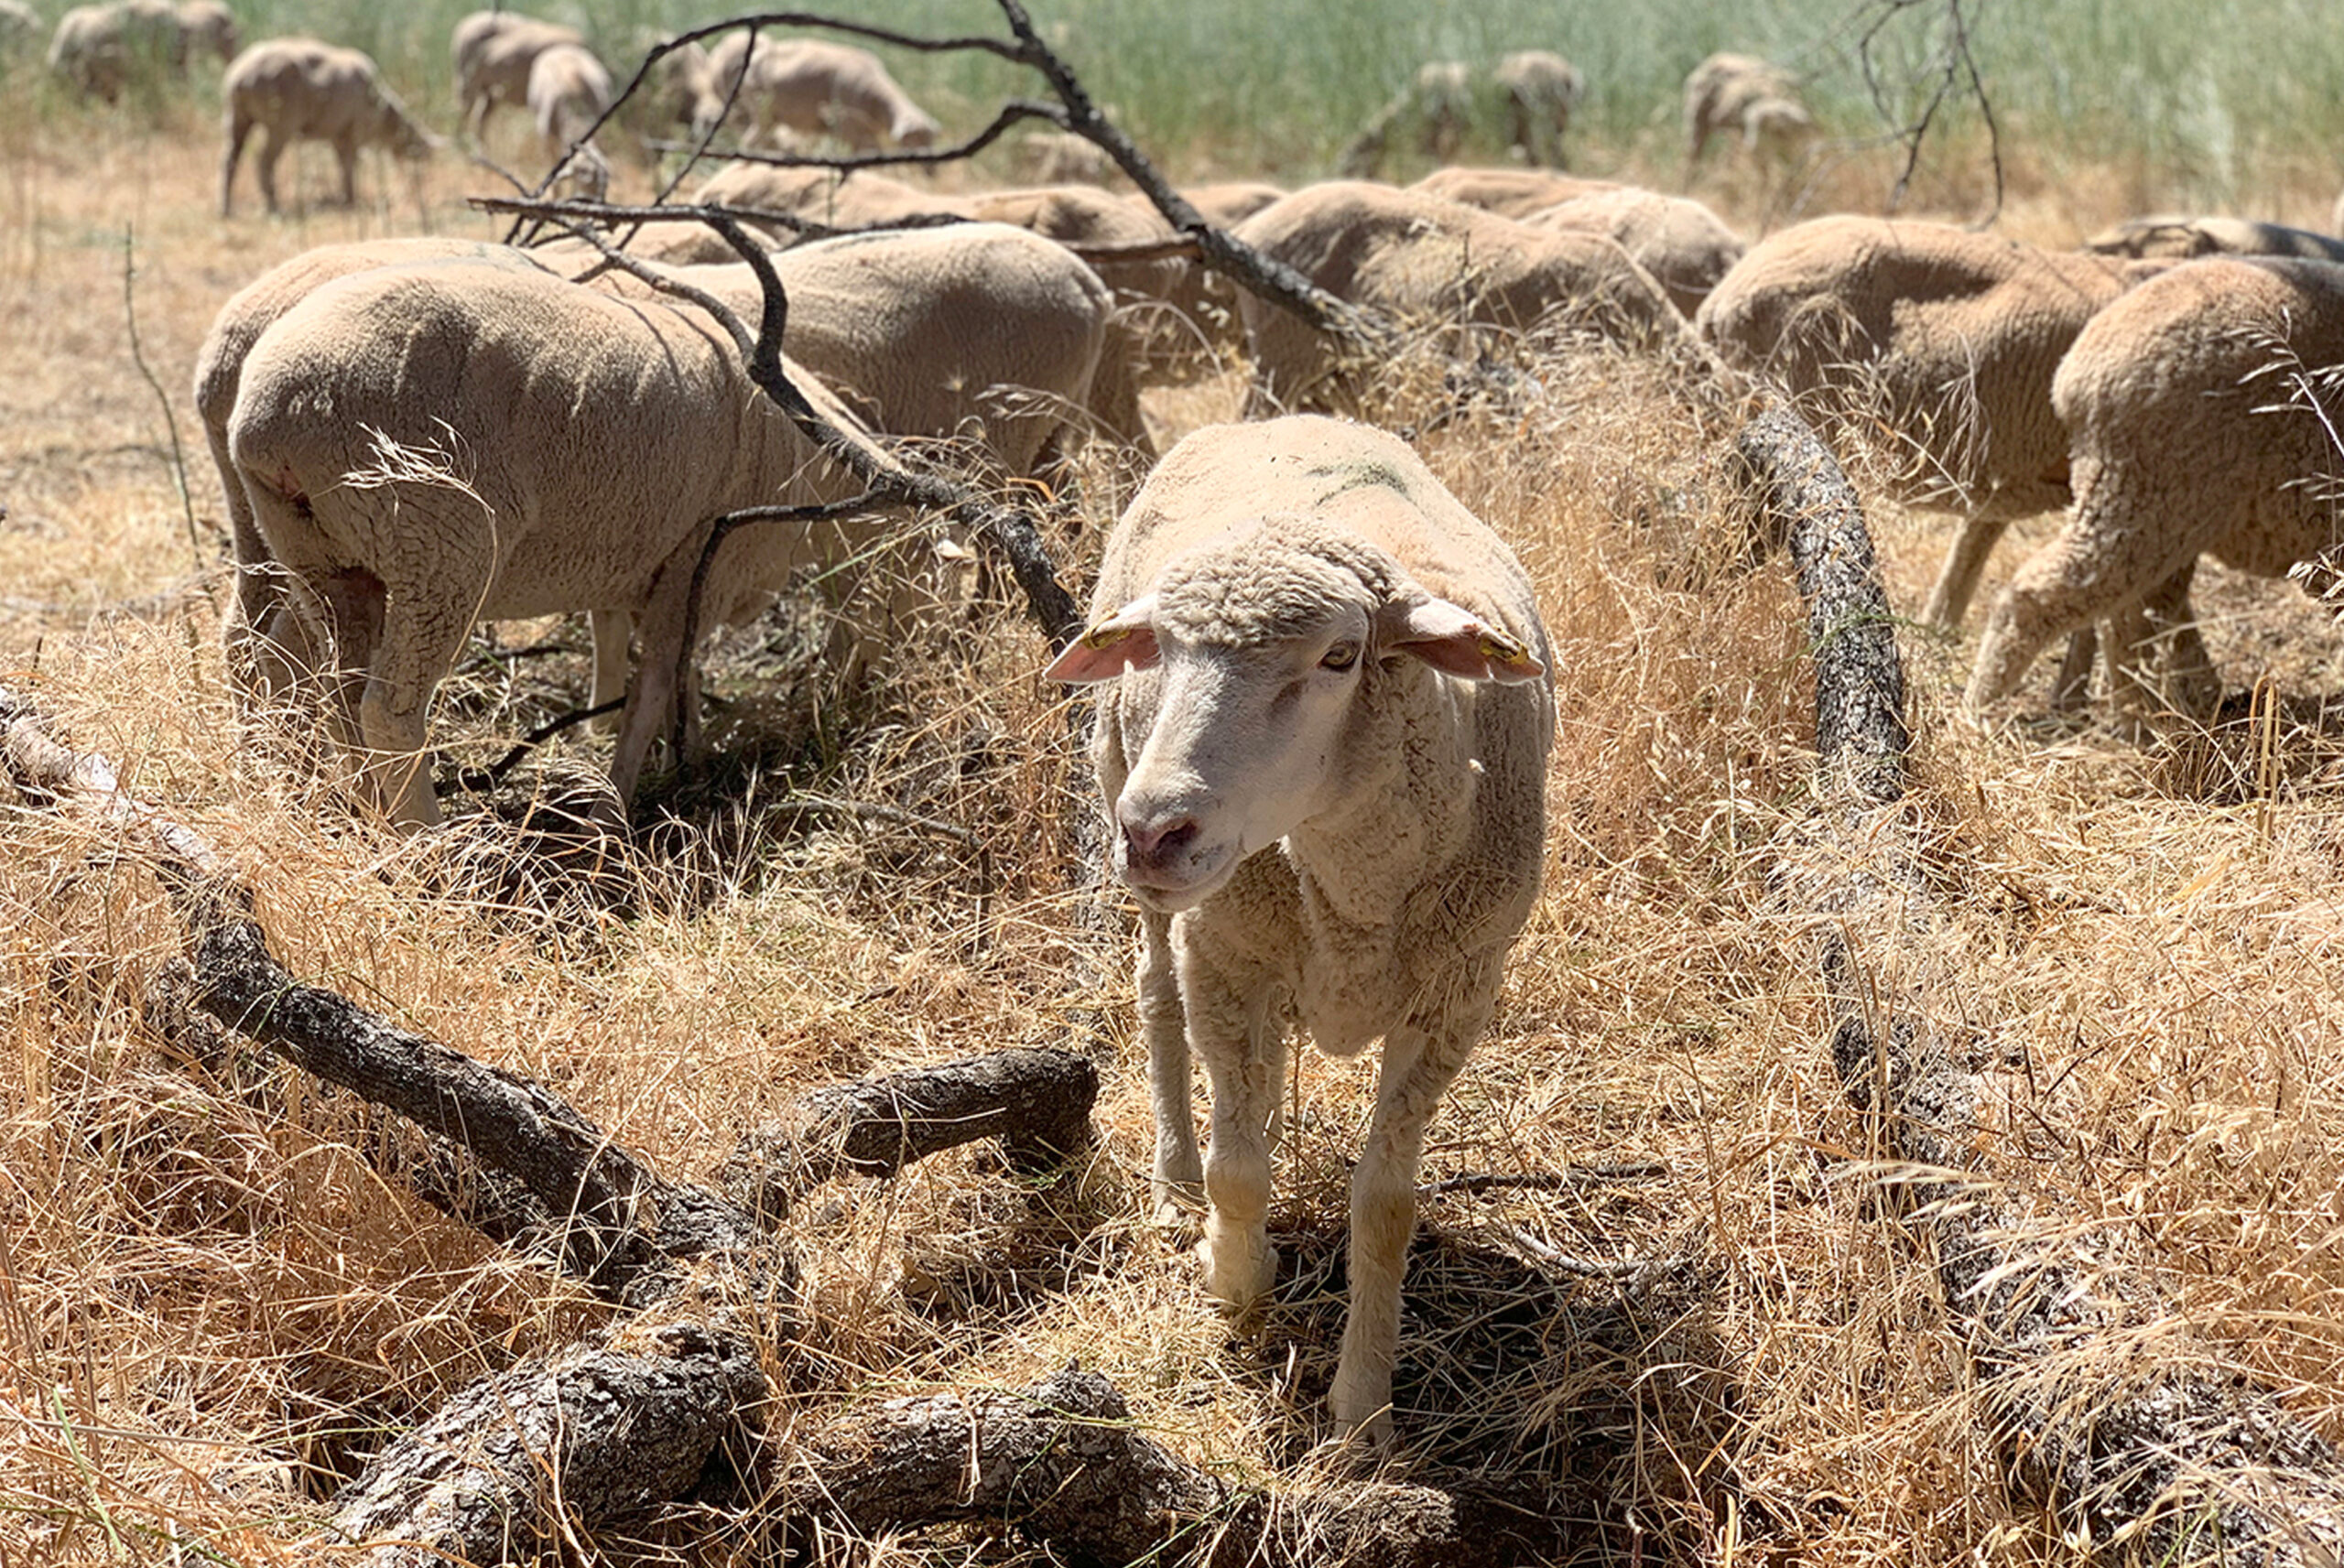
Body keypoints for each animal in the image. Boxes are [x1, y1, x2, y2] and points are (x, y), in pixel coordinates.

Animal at [219, 38, 435, 217]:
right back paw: (273, 207)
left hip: (237, 116)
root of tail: (239, 77)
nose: (418, 186)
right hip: (281, 122)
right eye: (419, 156)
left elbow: (342, 165)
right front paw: (351, 200)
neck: (384, 116)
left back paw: (225, 209)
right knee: (264, 160)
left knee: (230, 159)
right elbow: (349, 165)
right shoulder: (352, 132)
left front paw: (346, 197)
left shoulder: (337, 134)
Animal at [223, 260, 881, 828]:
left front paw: (674, 758)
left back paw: (367, 817)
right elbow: (657, 678)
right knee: (387, 710)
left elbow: (647, 659)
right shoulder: (702, 558)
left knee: (325, 687)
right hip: (438, 539)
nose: (864, 706)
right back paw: (432, 846)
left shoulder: (644, 561)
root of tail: (270, 418)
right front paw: (615, 805)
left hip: (321, 555)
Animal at [697, 33, 941, 153]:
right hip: (761, 112)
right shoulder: (848, 126)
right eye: (914, 139)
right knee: (751, 139)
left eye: (930, 139)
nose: (930, 170)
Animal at [1048, 413, 1554, 1444]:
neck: (1349, 878)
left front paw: (1364, 1413)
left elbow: (1386, 1207)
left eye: (1339, 657)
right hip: (1155, 854)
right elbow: (1237, 1175)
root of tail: (1279, 418)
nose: (1150, 831)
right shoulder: (1225, 956)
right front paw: (1237, 1287)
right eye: (1160, 650)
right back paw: (1177, 1185)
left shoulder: (1454, 999)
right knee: (1160, 1006)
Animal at [1967, 257, 2344, 722]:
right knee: (2043, 596)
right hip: (2149, 490)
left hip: (2155, 500)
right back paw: (1980, 711)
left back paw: (2158, 717)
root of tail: (2073, 373)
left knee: (2131, 614)